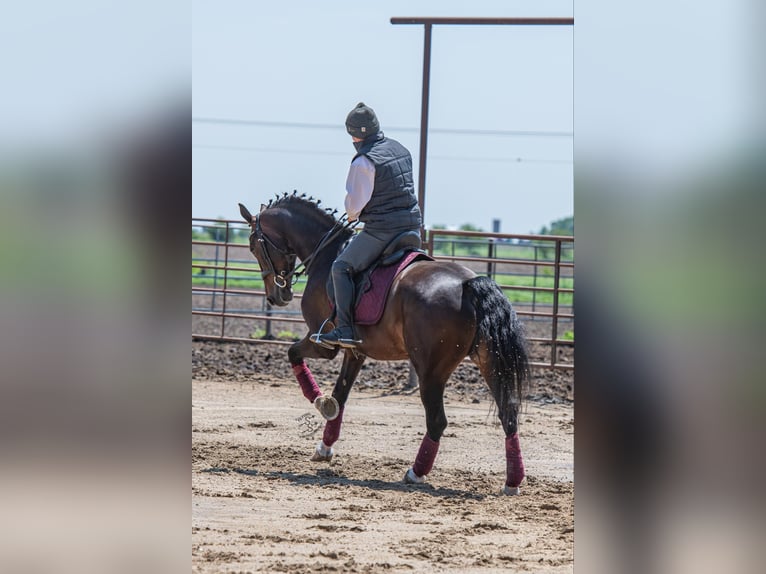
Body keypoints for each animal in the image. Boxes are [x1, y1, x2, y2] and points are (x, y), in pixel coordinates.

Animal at [237, 192, 532, 496]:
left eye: (253, 245)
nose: (276, 296)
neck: (327, 254)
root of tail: (469, 283)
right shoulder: (354, 352)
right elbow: (340, 396)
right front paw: (325, 446)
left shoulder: (323, 343)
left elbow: (293, 353)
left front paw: (319, 400)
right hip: (489, 364)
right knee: (508, 414)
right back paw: (512, 481)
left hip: (431, 372)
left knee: (437, 421)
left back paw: (416, 472)